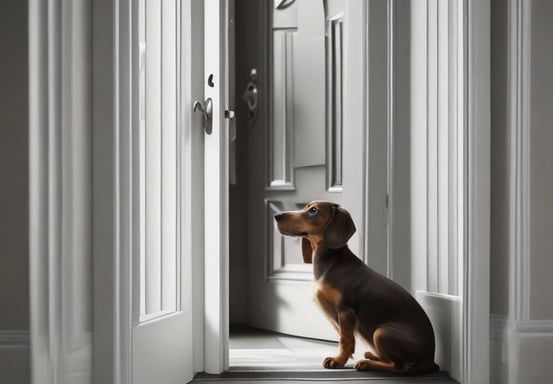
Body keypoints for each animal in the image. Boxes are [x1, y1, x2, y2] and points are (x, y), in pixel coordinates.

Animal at [274, 202, 438, 374]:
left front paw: (338, 360)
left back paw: (367, 364)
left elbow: (344, 340)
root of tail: (431, 360)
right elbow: (347, 339)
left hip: (381, 332)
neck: (331, 263)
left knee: (401, 367)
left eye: (314, 210)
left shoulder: (346, 310)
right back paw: (372, 356)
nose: (277, 216)